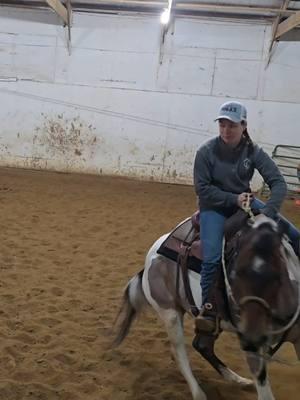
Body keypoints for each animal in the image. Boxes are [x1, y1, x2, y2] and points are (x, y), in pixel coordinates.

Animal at [113, 216, 300, 400]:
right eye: (233, 274)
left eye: (277, 273)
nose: (250, 338)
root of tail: (148, 262)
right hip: (170, 313)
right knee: (179, 352)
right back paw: (199, 394)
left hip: (211, 321)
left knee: (202, 345)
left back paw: (238, 379)